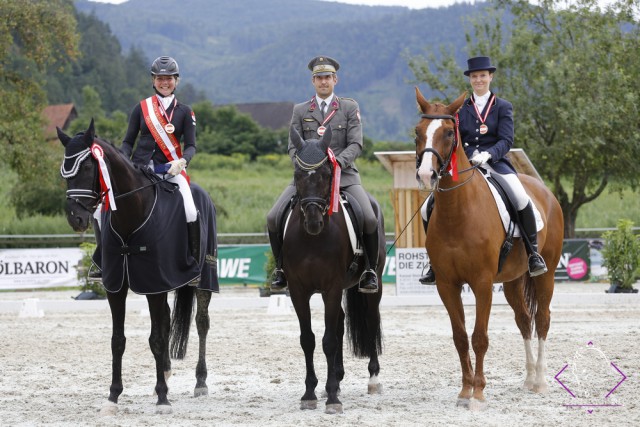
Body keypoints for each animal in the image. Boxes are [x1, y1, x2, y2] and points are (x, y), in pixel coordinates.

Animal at [60, 119, 220, 414]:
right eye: (65, 170)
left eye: (87, 167)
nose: (76, 218)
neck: (131, 213)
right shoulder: (118, 287)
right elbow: (118, 340)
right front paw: (113, 397)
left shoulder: (154, 283)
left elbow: (156, 339)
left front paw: (163, 399)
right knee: (167, 321)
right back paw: (165, 373)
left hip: (203, 278)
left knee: (201, 322)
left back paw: (200, 382)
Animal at [282, 128, 384, 414]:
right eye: (297, 174)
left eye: (328, 174)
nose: (313, 221)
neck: (312, 240)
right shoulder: (298, 290)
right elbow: (308, 339)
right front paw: (310, 393)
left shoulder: (331, 287)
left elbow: (327, 340)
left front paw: (332, 400)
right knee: (339, 323)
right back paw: (336, 380)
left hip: (372, 285)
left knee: (371, 321)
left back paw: (373, 379)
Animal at [416, 89, 560, 412]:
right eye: (417, 132)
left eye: (448, 132)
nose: (426, 175)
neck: (457, 212)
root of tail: (545, 191)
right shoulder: (447, 284)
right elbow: (460, 337)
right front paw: (464, 391)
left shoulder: (481, 283)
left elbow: (479, 337)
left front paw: (479, 394)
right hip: (512, 281)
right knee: (524, 321)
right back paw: (528, 379)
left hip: (546, 275)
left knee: (542, 320)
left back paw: (541, 382)